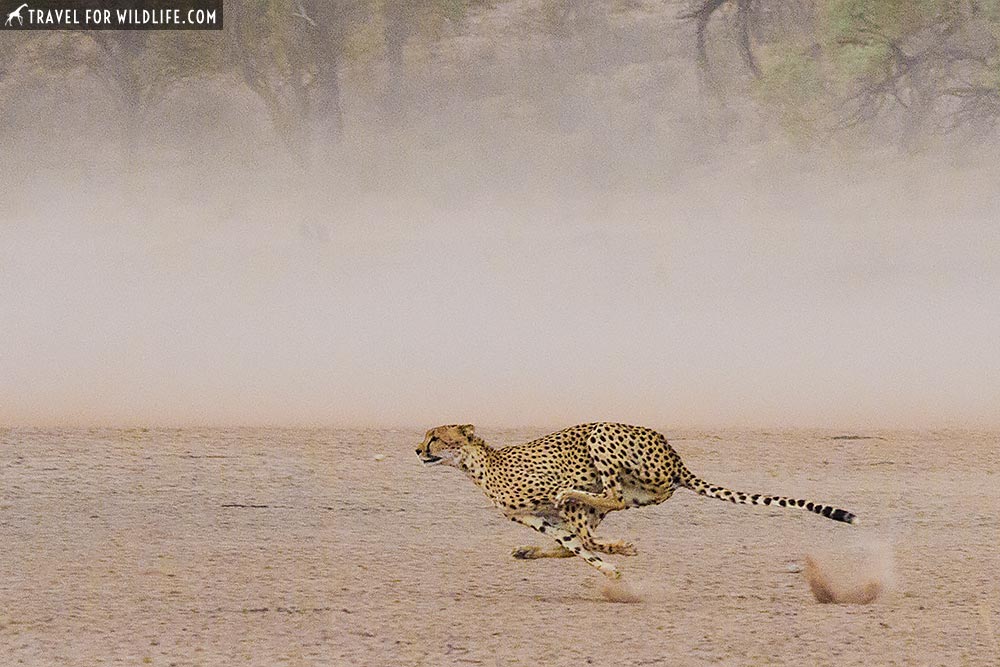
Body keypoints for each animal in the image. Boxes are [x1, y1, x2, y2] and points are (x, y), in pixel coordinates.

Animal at [414, 426, 860, 576]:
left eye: (435, 437)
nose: (417, 450)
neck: (477, 464)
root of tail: (677, 460)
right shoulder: (537, 518)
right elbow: (574, 544)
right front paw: (611, 564)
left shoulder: (564, 504)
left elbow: (580, 539)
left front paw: (614, 560)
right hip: (642, 493)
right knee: (608, 507)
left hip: (601, 437)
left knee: (607, 495)